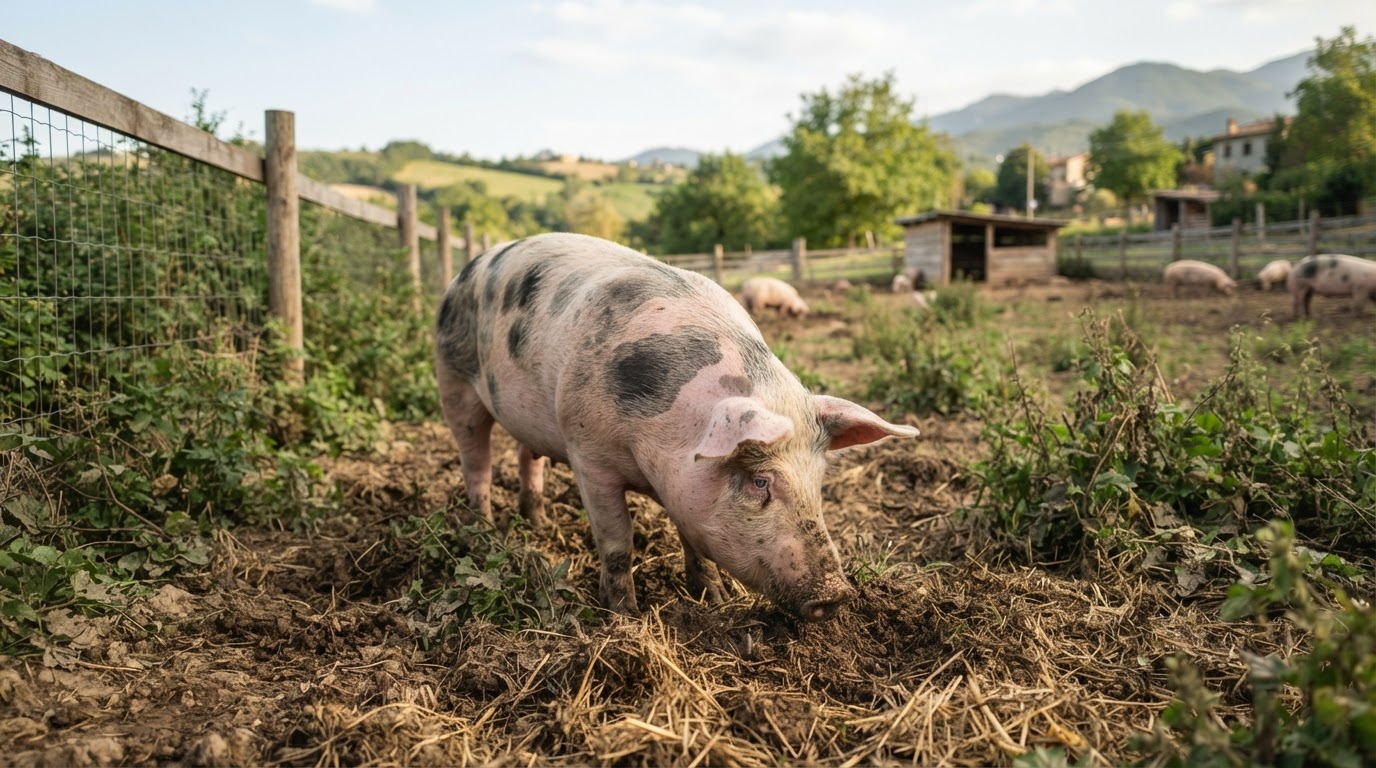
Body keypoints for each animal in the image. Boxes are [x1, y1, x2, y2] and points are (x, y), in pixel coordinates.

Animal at [435, 233, 918, 621]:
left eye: (818, 481)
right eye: (761, 481)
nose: (836, 594)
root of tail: (469, 267)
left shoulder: (684, 484)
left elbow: (692, 539)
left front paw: (716, 599)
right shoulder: (587, 453)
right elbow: (618, 544)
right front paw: (625, 617)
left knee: (525, 454)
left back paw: (535, 521)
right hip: (453, 380)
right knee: (475, 460)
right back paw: (484, 530)